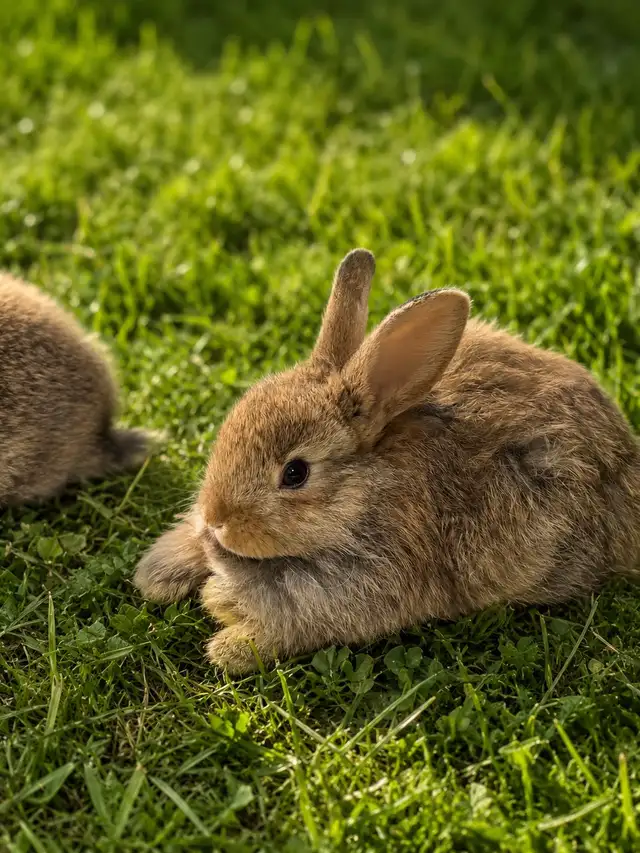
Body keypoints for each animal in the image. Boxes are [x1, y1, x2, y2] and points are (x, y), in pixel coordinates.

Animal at [134, 249, 640, 673]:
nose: (216, 519)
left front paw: (226, 641)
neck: (362, 493)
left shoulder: (362, 586)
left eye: (295, 473)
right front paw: (159, 575)